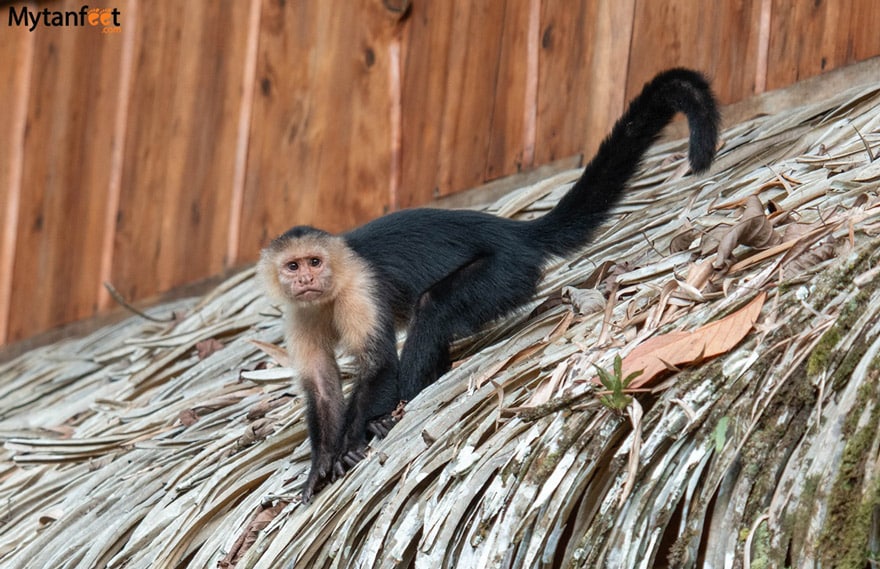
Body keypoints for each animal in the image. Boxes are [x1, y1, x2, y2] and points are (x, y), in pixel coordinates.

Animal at [258, 68, 720, 503]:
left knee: (433, 306)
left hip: (505, 271)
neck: (330, 288)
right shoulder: (297, 313)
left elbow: (379, 364)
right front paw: (321, 461)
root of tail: (513, 232)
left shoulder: (357, 288)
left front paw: (351, 443)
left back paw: (397, 410)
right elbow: (321, 384)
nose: (307, 278)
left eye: (315, 262)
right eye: (293, 266)